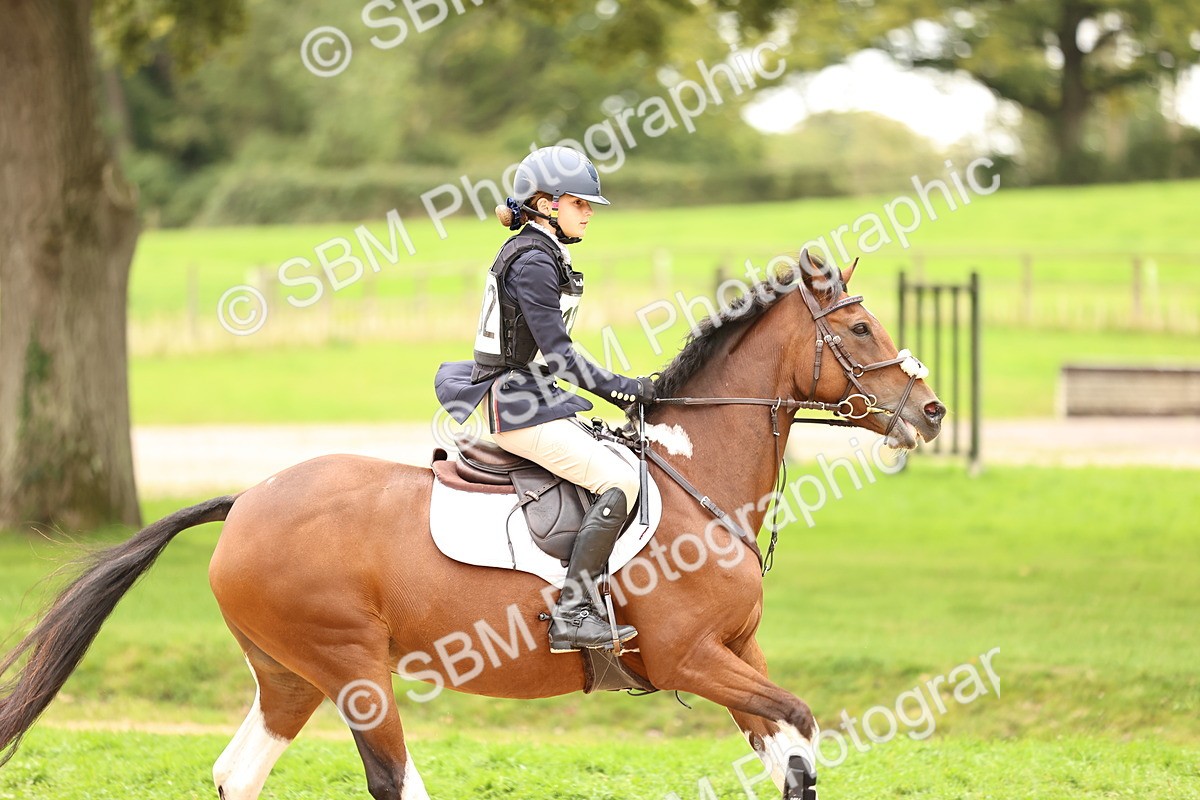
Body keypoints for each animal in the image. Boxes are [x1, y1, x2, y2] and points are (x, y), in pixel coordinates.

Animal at [0, 249, 945, 799]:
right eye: (862, 328)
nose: (932, 412)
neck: (696, 475)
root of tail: (249, 500)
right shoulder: (692, 658)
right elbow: (801, 722)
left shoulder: (737, 654)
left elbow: (793, 751)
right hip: (351, 669)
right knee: (390, 781)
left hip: (288, 675)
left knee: (238, 774)